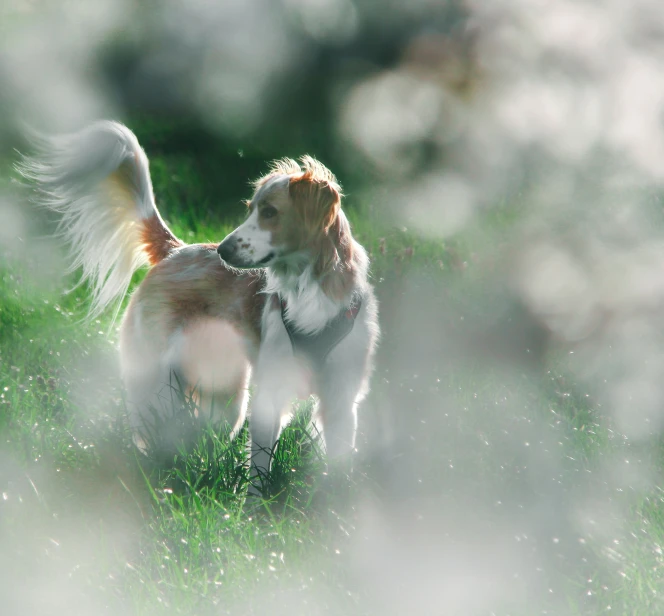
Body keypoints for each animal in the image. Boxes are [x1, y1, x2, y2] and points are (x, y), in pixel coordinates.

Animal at [19, 121, 378, 486]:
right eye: (250, 209)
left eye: (270, 212)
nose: (222, 249)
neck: (308, 290)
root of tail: (176, 250)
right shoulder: (271, 392)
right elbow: (259, 471)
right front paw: (255, 501)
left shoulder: (341, 400)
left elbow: (337, 466)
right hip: (162, 388)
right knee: (152, 438)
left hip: (224, 397)